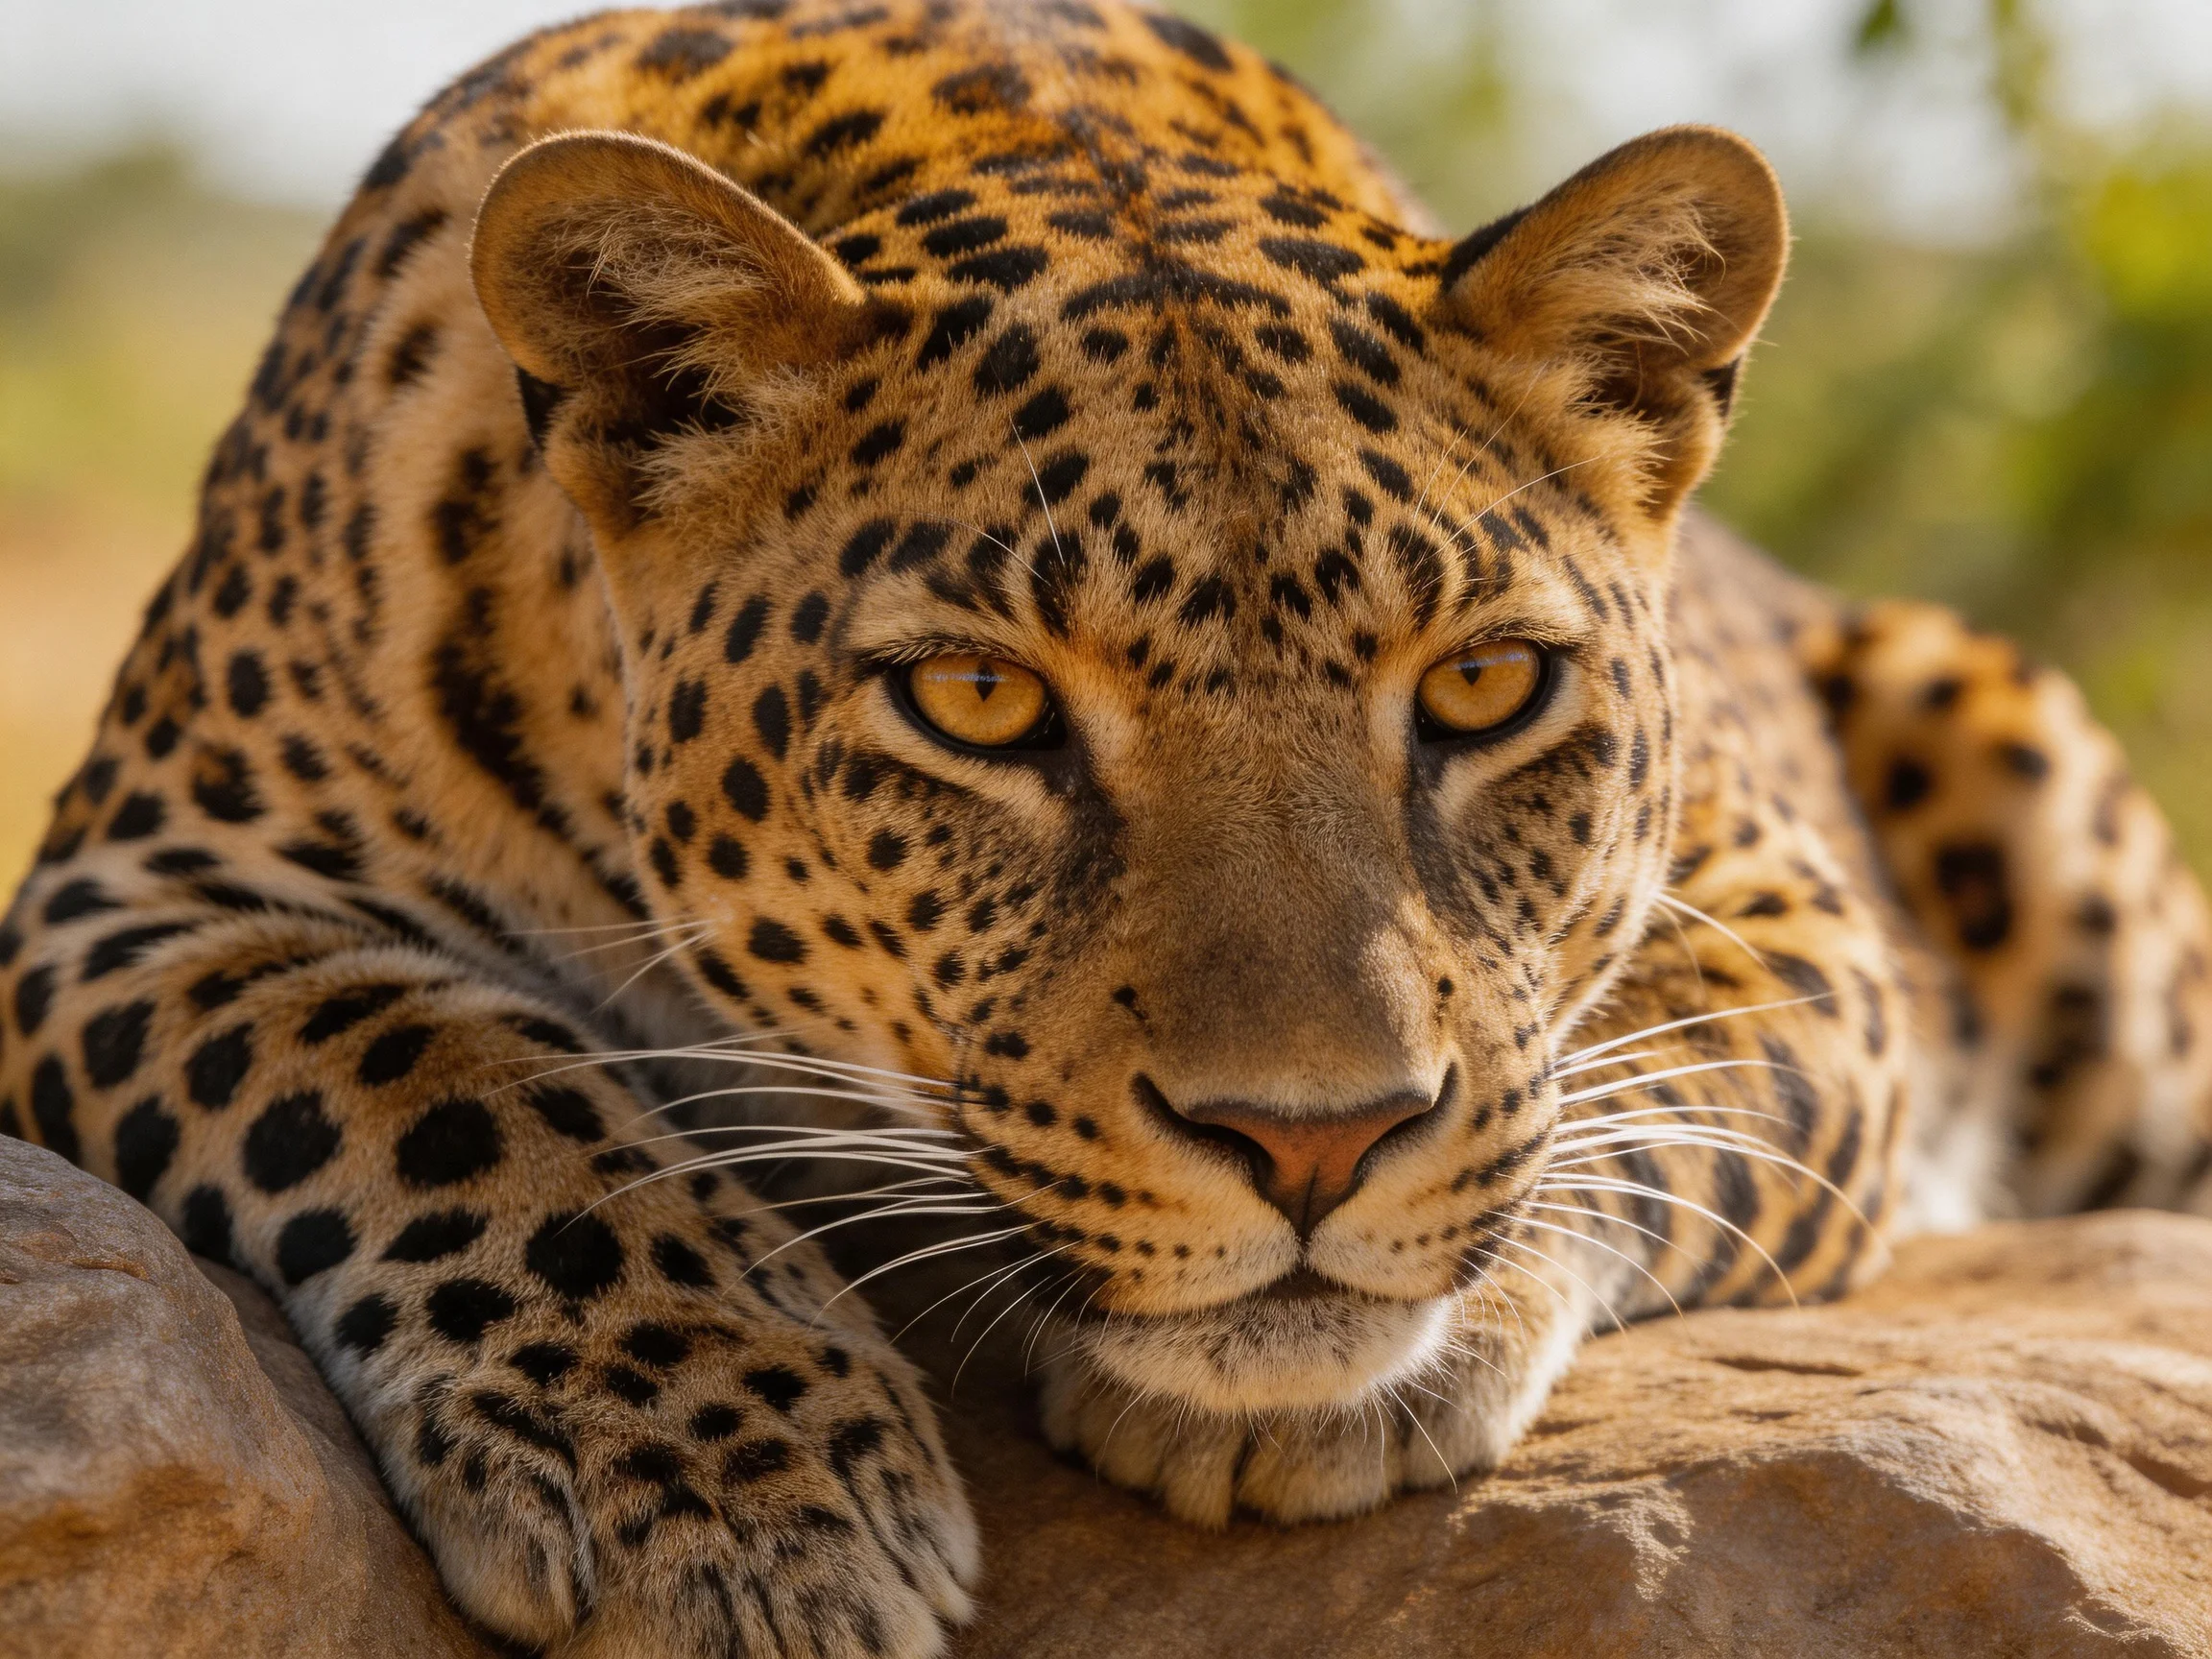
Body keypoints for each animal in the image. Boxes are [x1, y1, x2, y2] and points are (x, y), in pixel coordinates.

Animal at [5, 2, 2211, 1654]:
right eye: (979, 703)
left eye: (1485, 687)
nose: (1311, 1141)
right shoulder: (140, 885)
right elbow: (437, 1071)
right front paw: (717, 1491)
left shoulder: (1794, 912)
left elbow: (1619, 1076)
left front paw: (1394, 1347)